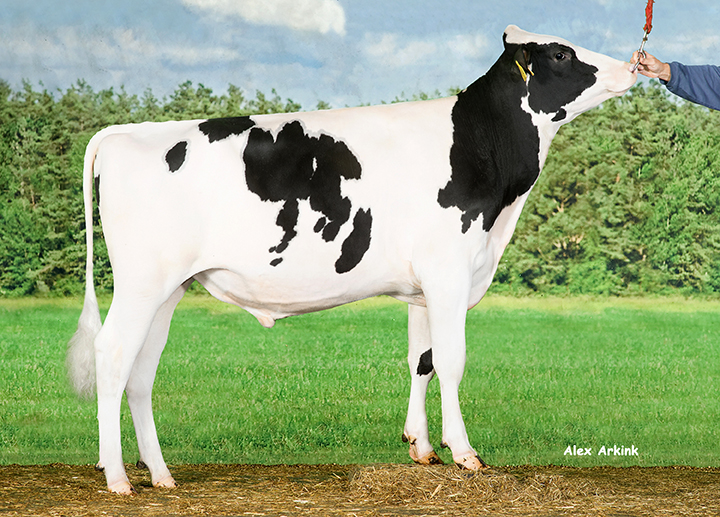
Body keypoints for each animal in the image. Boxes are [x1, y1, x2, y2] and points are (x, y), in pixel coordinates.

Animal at [67, 25, 637, 494]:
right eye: (561, 53)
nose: (632, 66)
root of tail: (124, 132)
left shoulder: (423, 286)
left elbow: (422, 359)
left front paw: (421, 447)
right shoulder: (449, 271)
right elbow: (452, 361)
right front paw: (464, 453)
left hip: (170, 286)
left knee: (141, 369)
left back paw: (161, 475)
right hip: (142, 282)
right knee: (112, 354)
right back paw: (117, 478)